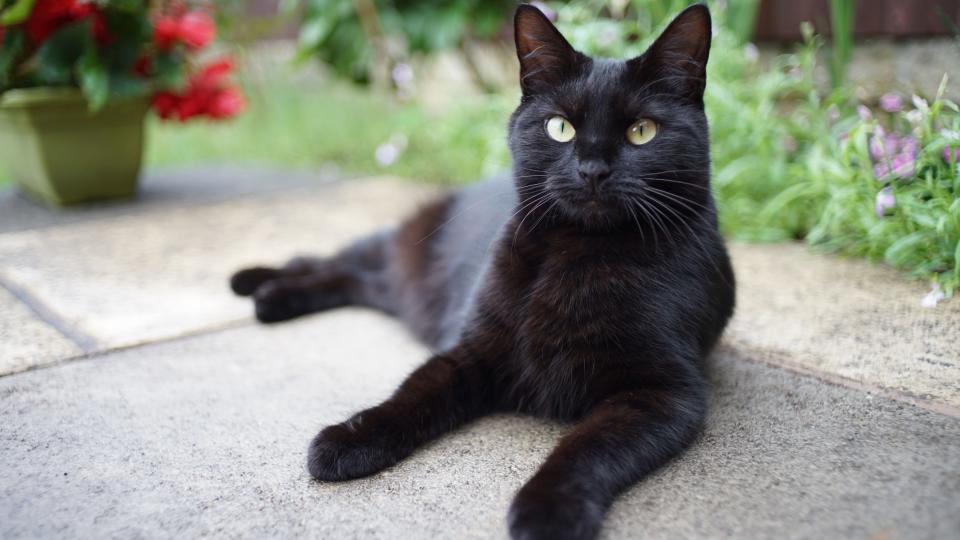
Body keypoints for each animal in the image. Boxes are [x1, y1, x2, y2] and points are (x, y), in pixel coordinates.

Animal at [231, 5, 736, 540]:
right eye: (560, 128)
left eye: (642, 130)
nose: (592, 170)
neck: (576, 254)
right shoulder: (473, 349)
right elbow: (412, 394)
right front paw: (347, 440)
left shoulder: (661, 393)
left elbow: (587, 448)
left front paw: (548, 509)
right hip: (399, 250)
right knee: (333, 260)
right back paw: (253, 284)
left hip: (401, 288)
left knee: (354, 280)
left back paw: (269, 297)